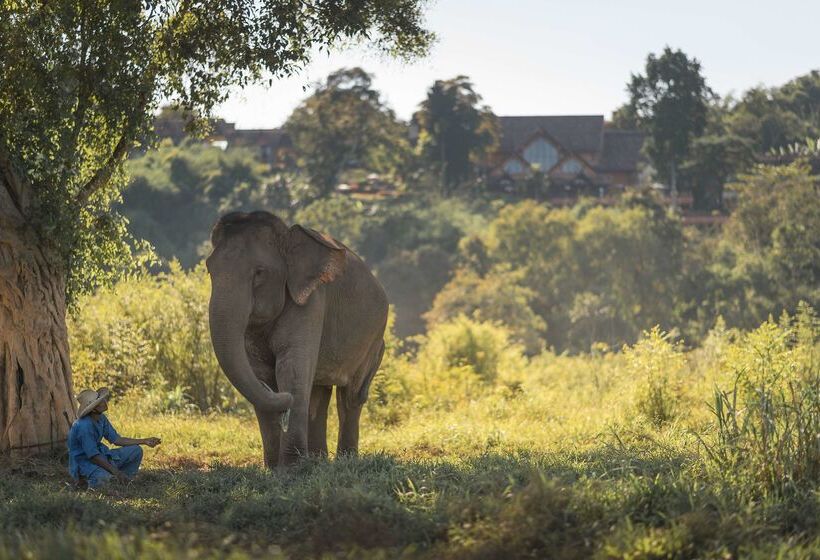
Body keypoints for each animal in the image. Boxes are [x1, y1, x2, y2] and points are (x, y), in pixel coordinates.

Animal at [206, 210, 388, 467]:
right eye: (209, 269)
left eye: (259, 272)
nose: (282, 397)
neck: (287, 236)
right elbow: (259, 371)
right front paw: (274, 468)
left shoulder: (311, 302)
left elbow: (291, 369)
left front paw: (292, 468)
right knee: (319, 394)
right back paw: (319, 460)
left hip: (374, 341)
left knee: (351, 396)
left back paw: (345, 460)